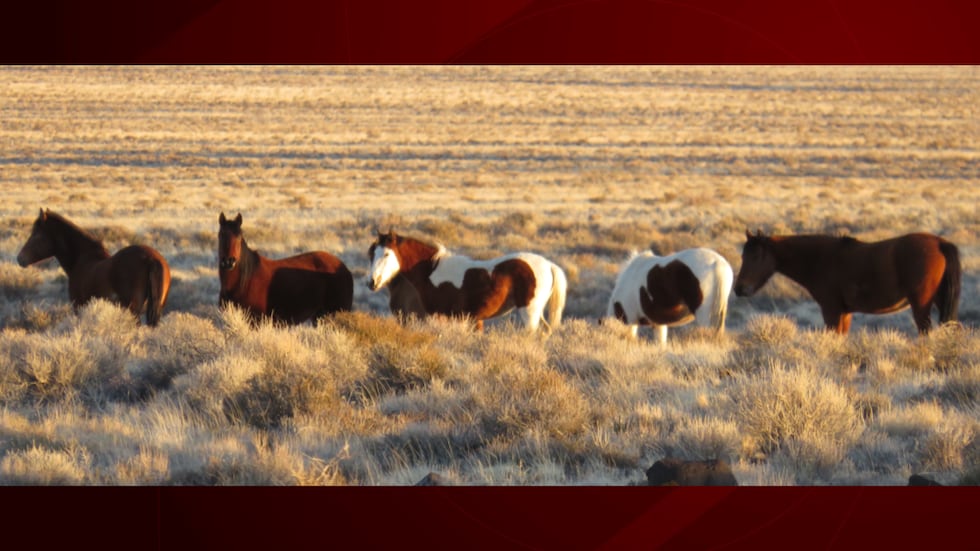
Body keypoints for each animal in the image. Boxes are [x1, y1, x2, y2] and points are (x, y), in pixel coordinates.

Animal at [16, 208, 171, 326]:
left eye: (36, 235)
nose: (20, 258)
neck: (82, 258)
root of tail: (152, 258)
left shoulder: (78, 306)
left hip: (133, 309)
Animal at [366, 230, 567, 332]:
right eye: (371, 254)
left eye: (386, 254)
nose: (372, 282)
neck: (431, 270)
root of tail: (548, 265)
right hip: (537, 311)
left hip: (529, 312)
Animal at [733, 230, 961, 335]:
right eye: (743, 256)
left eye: (755, 256)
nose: (739, 288)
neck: (820, 259)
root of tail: (939, 243)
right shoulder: (844, 312)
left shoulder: (831, 311)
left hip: (921, 305)